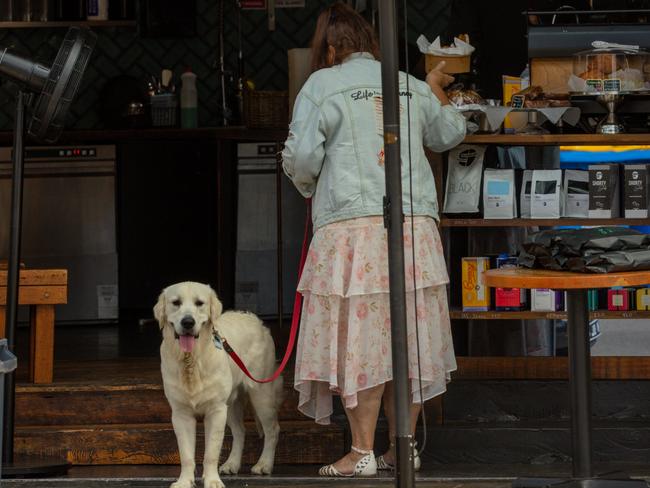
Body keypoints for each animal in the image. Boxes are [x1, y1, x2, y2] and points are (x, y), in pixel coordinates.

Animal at [156, 282, 282, 488]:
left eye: (199, 303)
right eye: (176, 303)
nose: (188, 322)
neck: (191, 360)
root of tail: (255, 319)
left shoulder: (216, 410)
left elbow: (211, 453)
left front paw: (212, 481)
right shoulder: (181, 414)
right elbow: (186, 455)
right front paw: (184, 481)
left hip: (261, 394)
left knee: (272, 429)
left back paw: (264, 464)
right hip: (231, 403)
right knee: (240, 431)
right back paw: (232, 464)